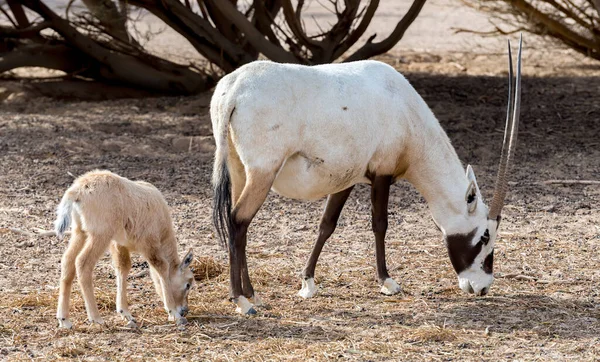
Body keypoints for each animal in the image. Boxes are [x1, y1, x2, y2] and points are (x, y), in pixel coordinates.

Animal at [55, 170, 193, 328]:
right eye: (188, 284)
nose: (184, 310)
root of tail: (78, 190)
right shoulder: (149, 243)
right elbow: (161, 266)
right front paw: (173, 314)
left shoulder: (120, 244)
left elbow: (123, 267)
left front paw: (125, 313)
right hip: (100, 234)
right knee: (82, 263)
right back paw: (96, 318)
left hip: (80, 232)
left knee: (68, 260)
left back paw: (64, 320)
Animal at [211, 36, 520, 314]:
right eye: (484, 236)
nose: (482, 287)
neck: (406, 111)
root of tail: (234, 89)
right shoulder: (382, 172)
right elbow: (380, 224)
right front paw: (387, 281)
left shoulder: (346, 178)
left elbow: (327, 225)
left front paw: (307, 282)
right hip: (263, 173)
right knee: (238, 220)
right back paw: (241, 300)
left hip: (240, 170)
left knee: (240, 224)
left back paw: (253, 294)